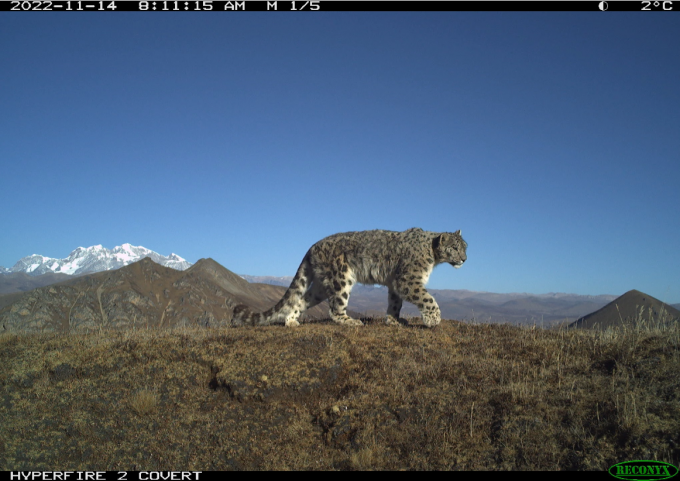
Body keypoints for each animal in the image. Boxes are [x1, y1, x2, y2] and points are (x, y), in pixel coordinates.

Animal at [234, 228, 468, 326]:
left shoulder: (395, 283)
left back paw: (291, 321)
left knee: (300, 300)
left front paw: (393, 320)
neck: (433, 257)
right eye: (456, 248)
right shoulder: (408, 280)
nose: (465, 259)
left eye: (465, 246)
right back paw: (352, 322)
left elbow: (395, 303)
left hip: (320, 286)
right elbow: (428, 299)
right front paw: (433, 320)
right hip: (341, 279)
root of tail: (312, 247)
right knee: (335, 308)